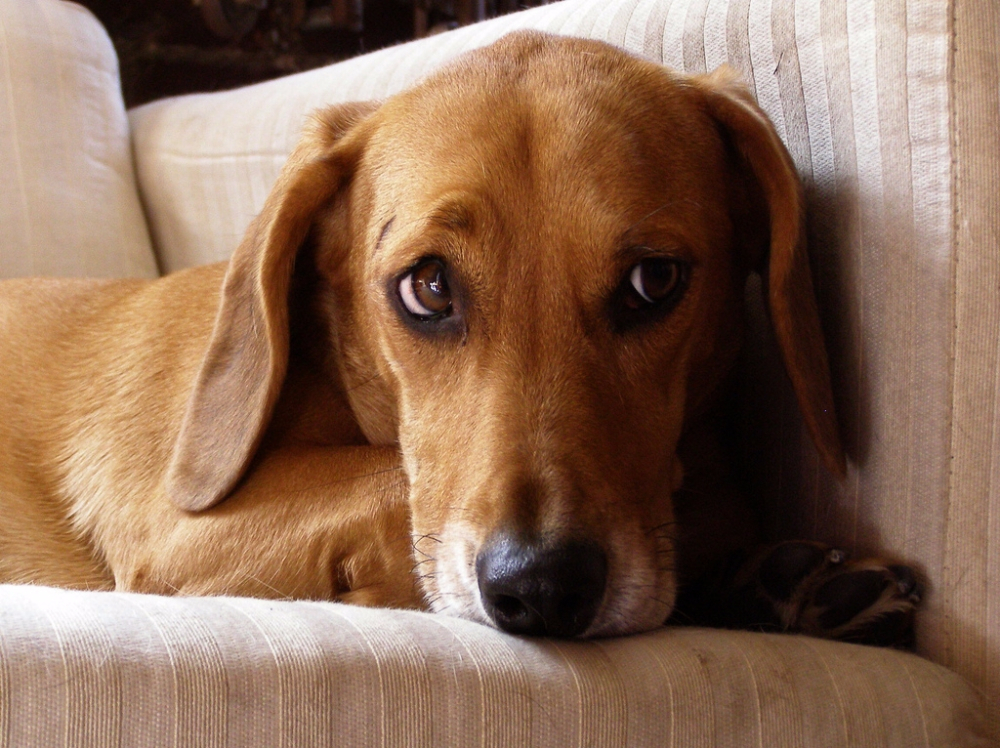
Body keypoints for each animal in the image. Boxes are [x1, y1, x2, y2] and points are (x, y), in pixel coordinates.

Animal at [1, 32, 920, 644]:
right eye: (429, 286)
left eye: (654, 281)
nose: (543, 590)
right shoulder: (177, 531)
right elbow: (391, 486)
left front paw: (766, 576)